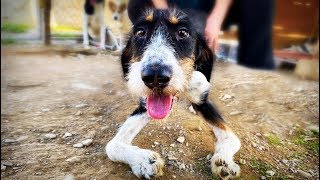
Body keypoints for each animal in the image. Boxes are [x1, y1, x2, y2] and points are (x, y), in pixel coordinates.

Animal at [106, 7, 241, 180]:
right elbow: (112, 146)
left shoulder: (203, 102)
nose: (155, 77)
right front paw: (143, 161)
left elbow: (232, 138)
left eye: (183, 32)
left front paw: (224, 161)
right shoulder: (144, 107)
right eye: (140, 32)